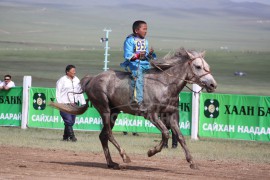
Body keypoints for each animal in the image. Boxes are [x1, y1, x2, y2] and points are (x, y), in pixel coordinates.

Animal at [50, 47, 217, 169]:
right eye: (198, 66)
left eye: (207, 66)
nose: (213, 84)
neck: (165, 85)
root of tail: (92, 78)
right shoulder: (151, 115)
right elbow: (165, 133)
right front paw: (151, 152)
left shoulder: (171, 116)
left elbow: (180, 137)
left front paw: (192, 162)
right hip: (105, 110)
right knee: (109, 134)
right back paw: (124, 156)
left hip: (114, 112)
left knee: (103, 136)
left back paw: (111, 163)